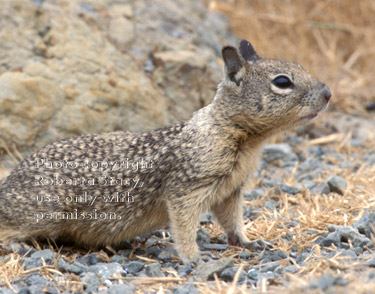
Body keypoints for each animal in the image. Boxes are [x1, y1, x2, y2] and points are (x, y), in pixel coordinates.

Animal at [0, 39, 332, 264]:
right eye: (282, 82)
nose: (328, 93)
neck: (240, 136)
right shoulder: (186, 188)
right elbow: (184, 225)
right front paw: (193, 257)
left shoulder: (231, 191)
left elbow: (232, 221)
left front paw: (249, 242)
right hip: (42, 214)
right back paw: (18, 245)